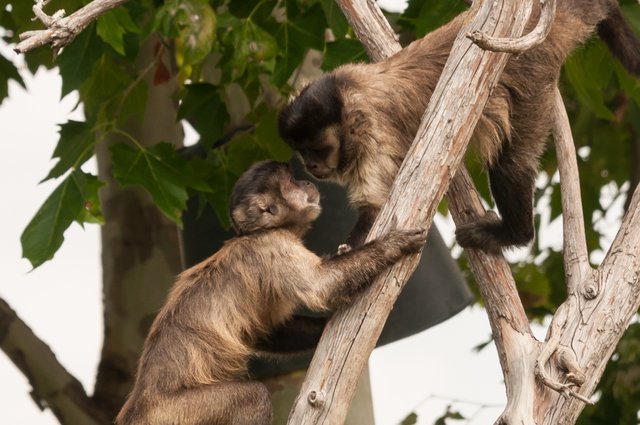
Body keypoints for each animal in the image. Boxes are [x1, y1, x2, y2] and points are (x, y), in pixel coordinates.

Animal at [115, 160, 428, 424]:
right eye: (292, 182)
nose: (307, 182)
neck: (261, 233)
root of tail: (138, 408)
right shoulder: (272, 247)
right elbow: (323, 287)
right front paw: (392, 244)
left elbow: (266, 331)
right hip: (175, 414)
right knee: (253, 398)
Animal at [278, 0, 640, 252]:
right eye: (302, 152)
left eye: (317, 150)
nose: (311, 166)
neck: (350, 97)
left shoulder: (373, 135)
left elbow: (376, 208)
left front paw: (351, 251)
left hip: (532, 78)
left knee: (510, 164)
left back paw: (515, 234)